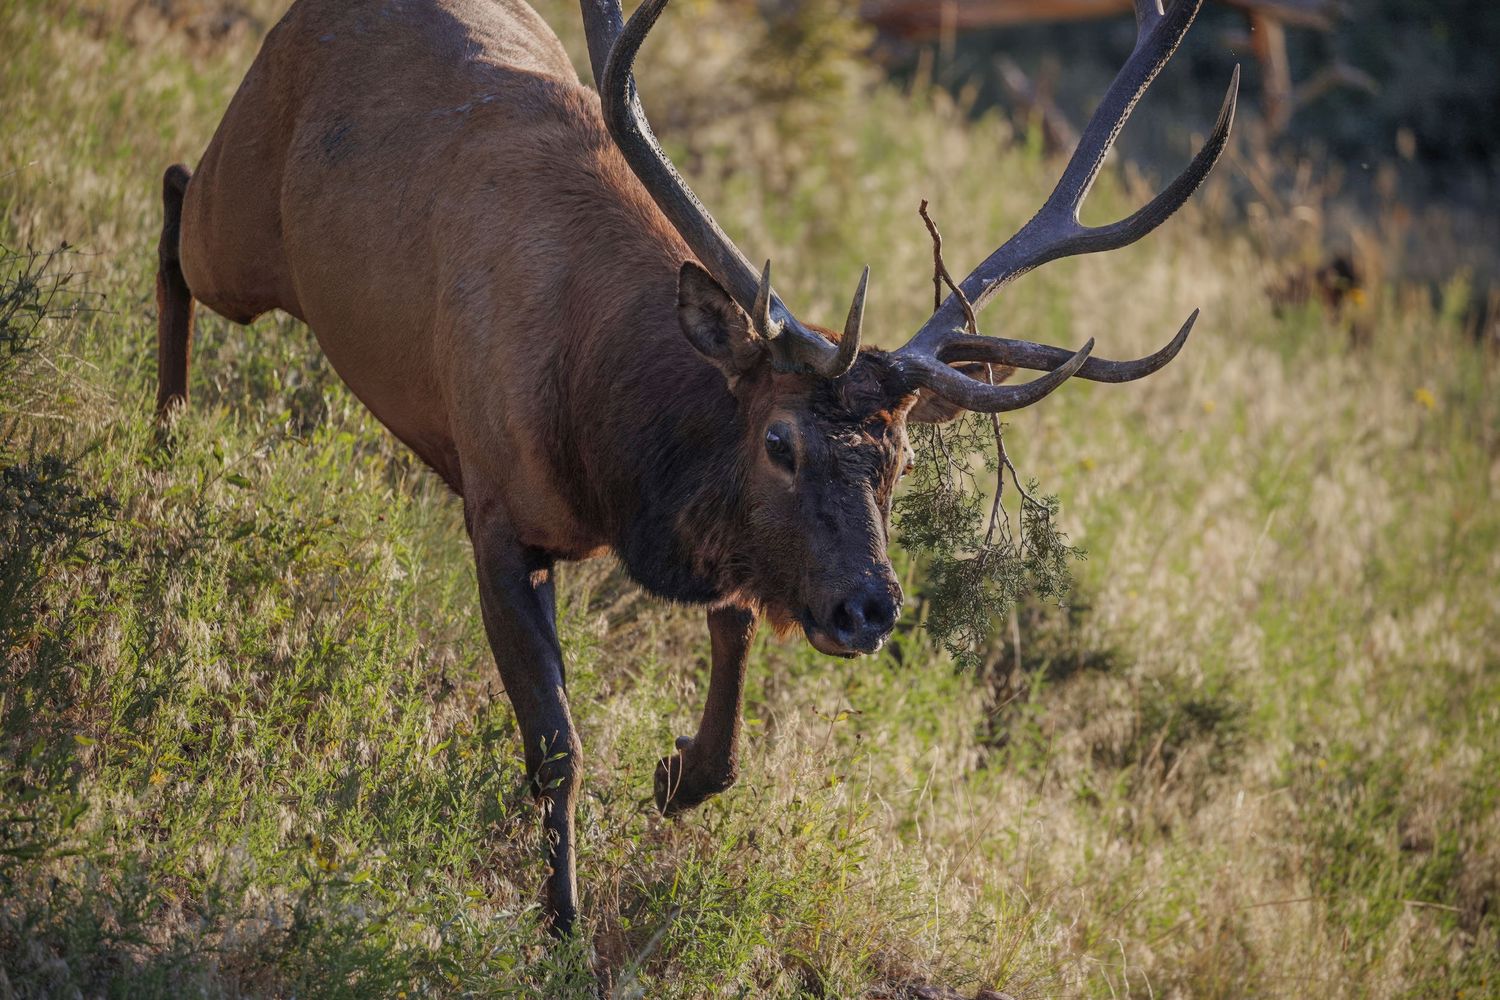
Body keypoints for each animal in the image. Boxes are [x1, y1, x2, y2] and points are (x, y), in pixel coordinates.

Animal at [154, 0, 1236, 935]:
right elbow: (557, 746)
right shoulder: (496, 508)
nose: (870, 607)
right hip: (245, 230)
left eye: (899, 456)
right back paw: (163, 442)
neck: (610, 450)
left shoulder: (727, 557)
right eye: (778, 442)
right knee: (173, 198)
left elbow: (729, 703)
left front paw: (675, 774)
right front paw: (560, 923)